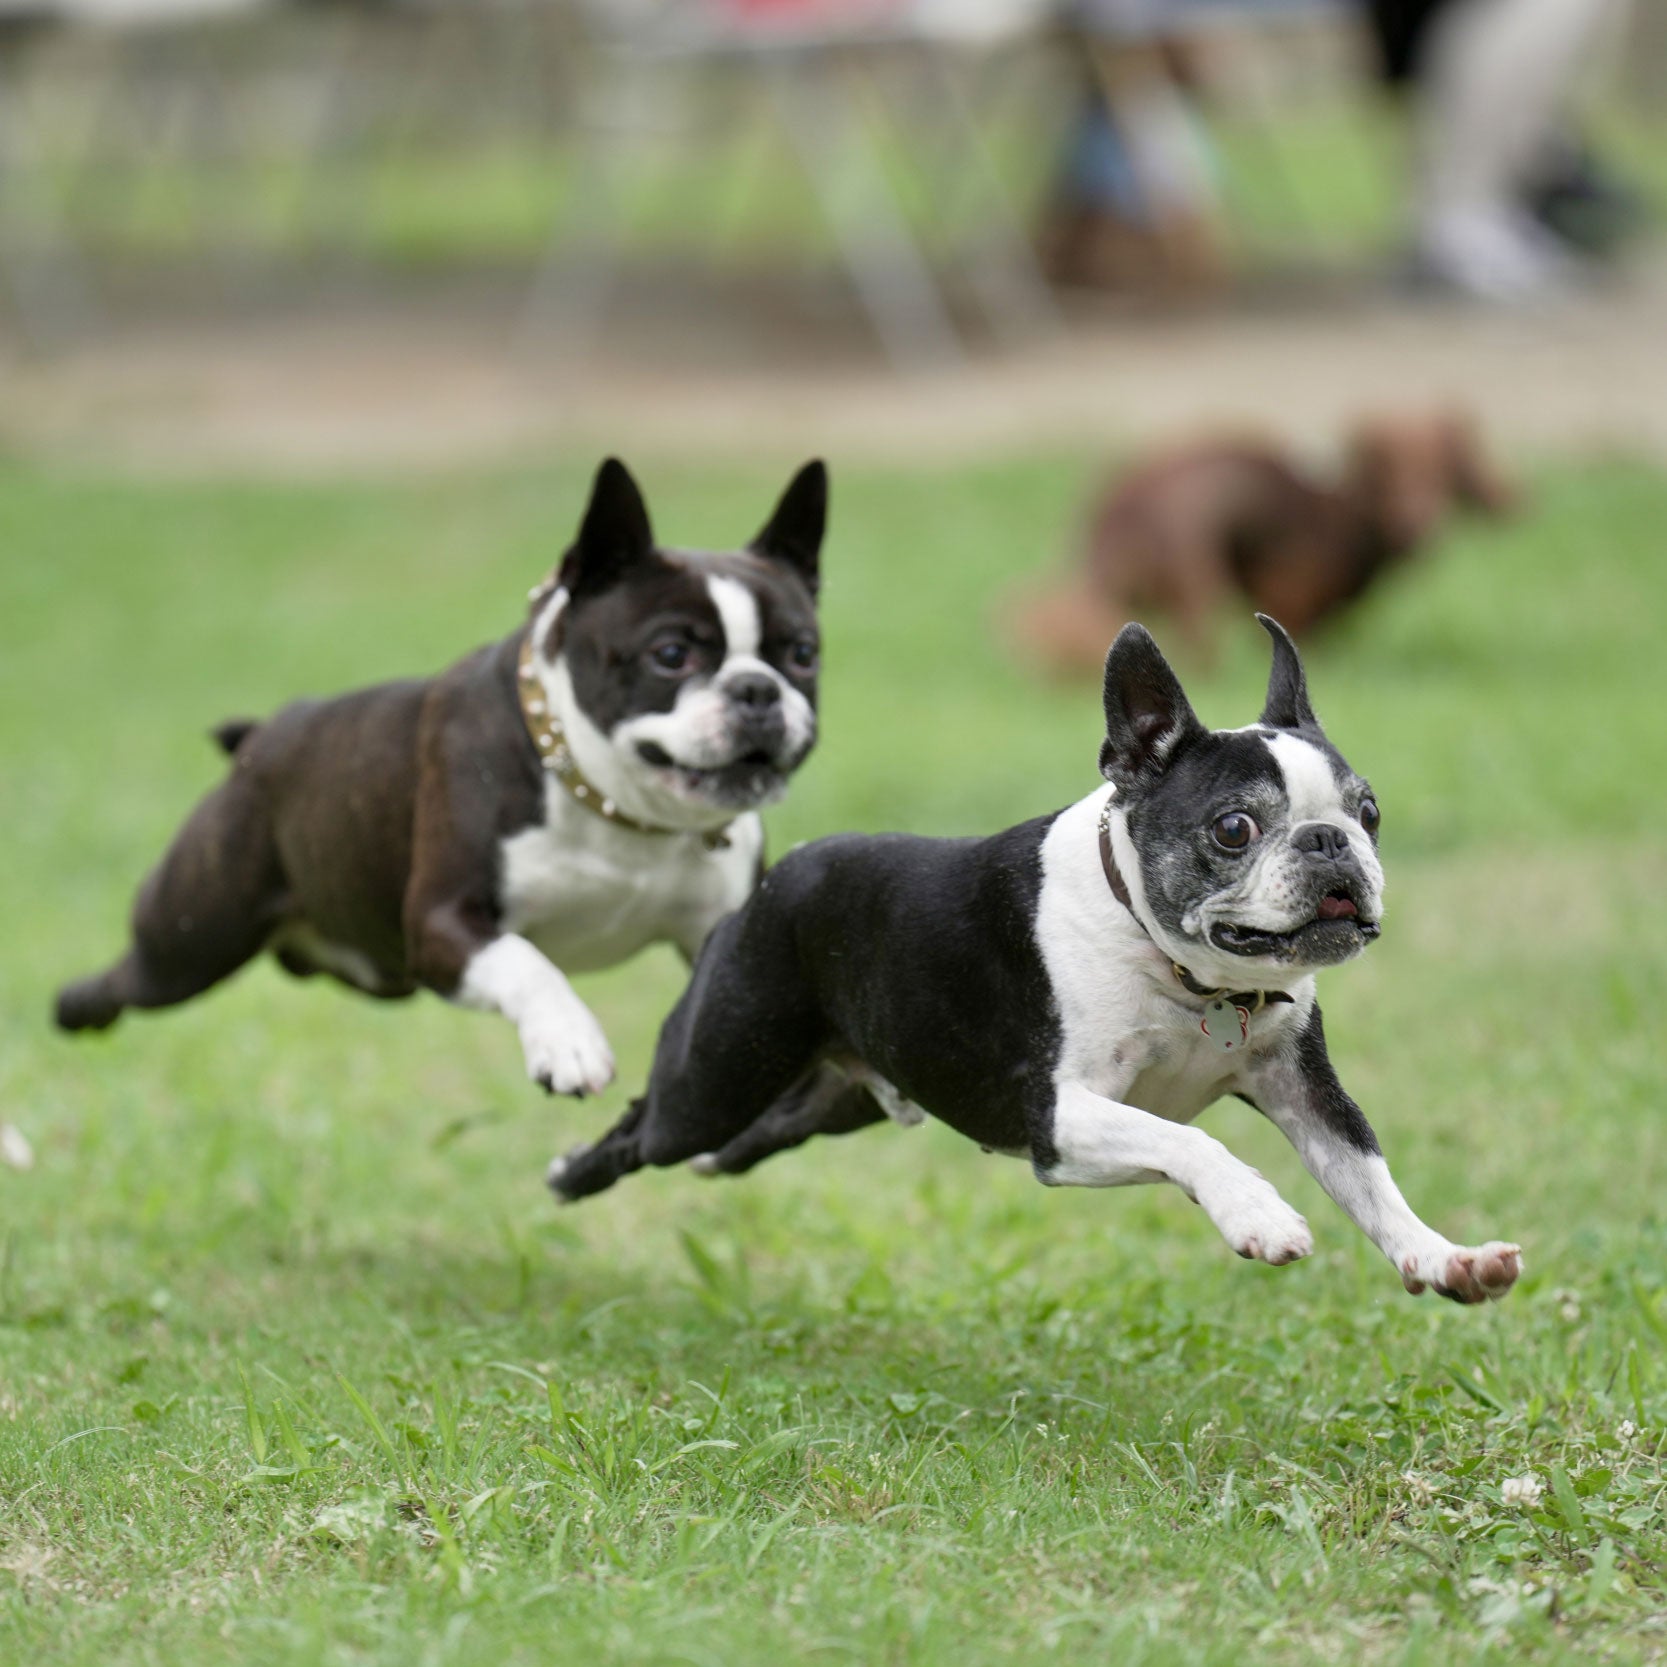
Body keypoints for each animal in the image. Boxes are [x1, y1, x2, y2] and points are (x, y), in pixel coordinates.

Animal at [58, 463, 826, 1100]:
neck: (611, 806)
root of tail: (261, 738)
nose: (758, 689)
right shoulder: (443, 922)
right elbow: (526, 962)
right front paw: (568, 1042)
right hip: (188, 938)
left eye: (802, 653)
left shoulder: (718, 930)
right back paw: (72, 1007)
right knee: (126, 980)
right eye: (670, 654)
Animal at [556, 620, 1526, 1306]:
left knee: (742, 1144)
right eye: (1234, 827)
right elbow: (1191, 1137)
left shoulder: (1308, 1093)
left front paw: (1442, 1257)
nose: (1330, 844)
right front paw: (1256, 1211)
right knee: (646, 1125)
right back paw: (569, 1170)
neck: (1184, 975)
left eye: (1368, 813)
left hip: (829, 1098)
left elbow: (1369, 1179)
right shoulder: (1060, 1117)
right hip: (715, 1075)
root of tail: (774, 877)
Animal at [1006, 406, 1520, 673]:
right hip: (1196, 580)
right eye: (1387, 470)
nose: (1419, 525)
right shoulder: (1288, 597)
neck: (1336, 513)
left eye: (1443, 472)